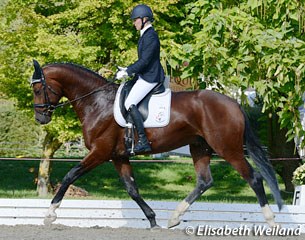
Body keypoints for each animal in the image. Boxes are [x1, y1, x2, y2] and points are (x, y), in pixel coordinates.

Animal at [30, 60, 282, 229]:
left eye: (37, 88)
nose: (40, 119)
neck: (97, 102)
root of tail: (233, 103)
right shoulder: (118, 156)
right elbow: (132, 189)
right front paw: (152, 221)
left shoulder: (100, 152)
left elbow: (70, 174)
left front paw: (50, 214)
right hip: (199, 147)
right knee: (204, 181)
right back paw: (174, 218)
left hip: (228, 149)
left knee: (254, 178)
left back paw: (271, 221)